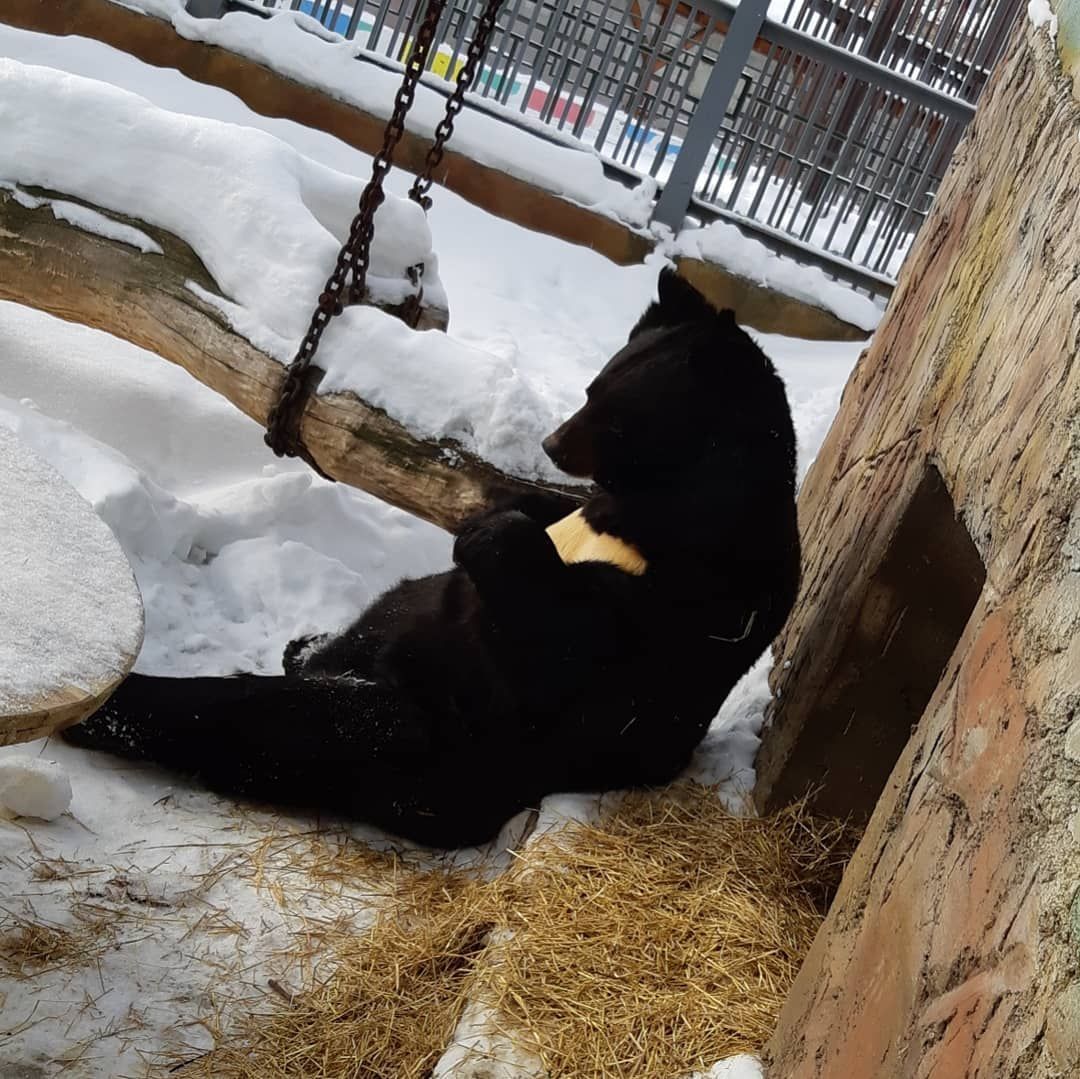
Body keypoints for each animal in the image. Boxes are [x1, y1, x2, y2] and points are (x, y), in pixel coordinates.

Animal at [63, 270, 799, 851]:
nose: (552, 443)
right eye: (594, 386)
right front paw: (493, 512)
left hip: (417, 733)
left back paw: (120, 703)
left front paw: (495, 537)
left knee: (262, 721)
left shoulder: (694, 596)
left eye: (611, 411)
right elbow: (527, 513)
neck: (656, 507)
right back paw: (304, 645)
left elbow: (572, 658)